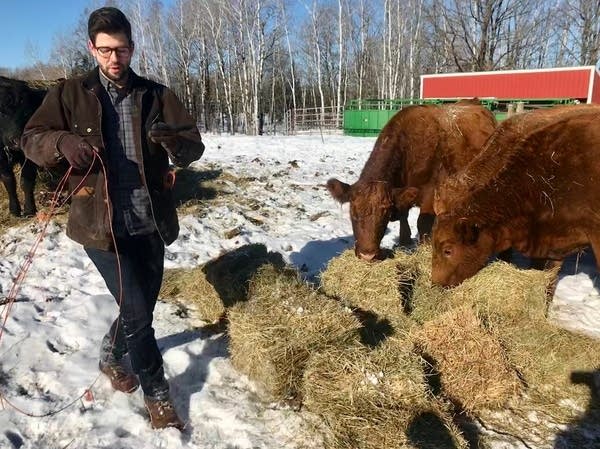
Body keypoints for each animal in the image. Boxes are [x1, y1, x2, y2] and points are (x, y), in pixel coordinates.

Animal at [328, 98, 496, 260]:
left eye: (384, 214)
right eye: (353, 213)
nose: (367, 255)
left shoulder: (430, 191)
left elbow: (422, 222)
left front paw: (425, 246)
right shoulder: (402, 193)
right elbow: (404, 217)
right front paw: (404, 241)